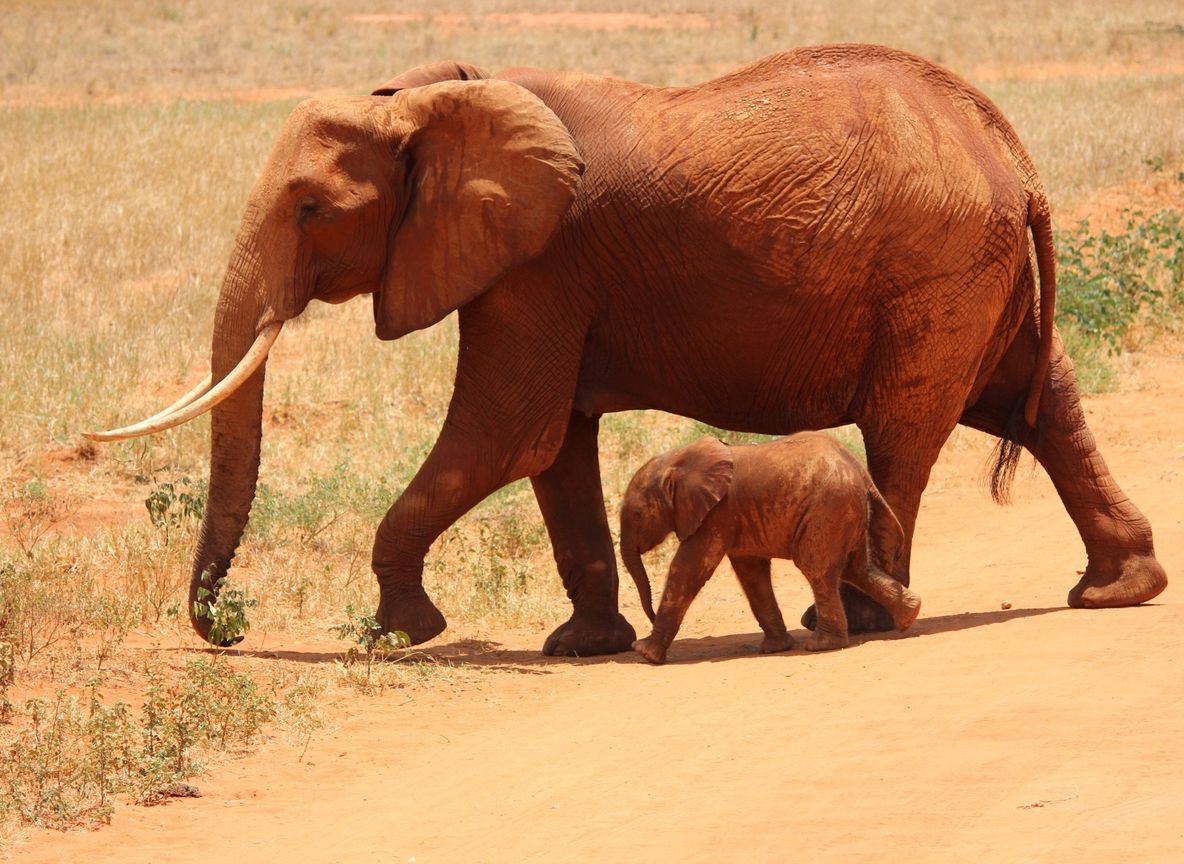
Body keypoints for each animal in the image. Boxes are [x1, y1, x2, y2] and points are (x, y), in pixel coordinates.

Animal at [621, 434, 922, 664]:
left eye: (637, 514)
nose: (649, 615)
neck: (677, 461)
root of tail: (860, 470)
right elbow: (751, 574)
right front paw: (776, 648)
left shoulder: (717, 513)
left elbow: (688, 568)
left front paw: (645, 653)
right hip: (846, 511)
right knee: (857, 569)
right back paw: (910, 615)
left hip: (828, 509)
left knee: (818, 570)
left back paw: (822, 645)